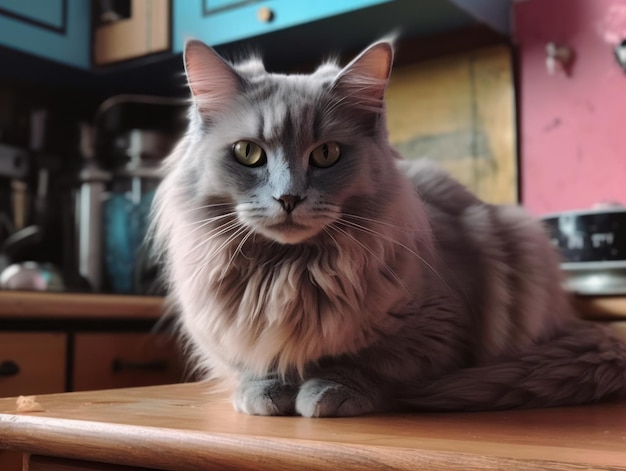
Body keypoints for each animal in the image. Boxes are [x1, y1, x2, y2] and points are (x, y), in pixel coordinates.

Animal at [151, 39, 624, 416]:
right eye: (248, 153)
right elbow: (257, 363)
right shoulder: (225, 333)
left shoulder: (441, 330)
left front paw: (329, 391)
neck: (289, 274)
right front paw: (265, 392)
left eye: (326, 154)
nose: (288, 198)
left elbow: (370, 364)